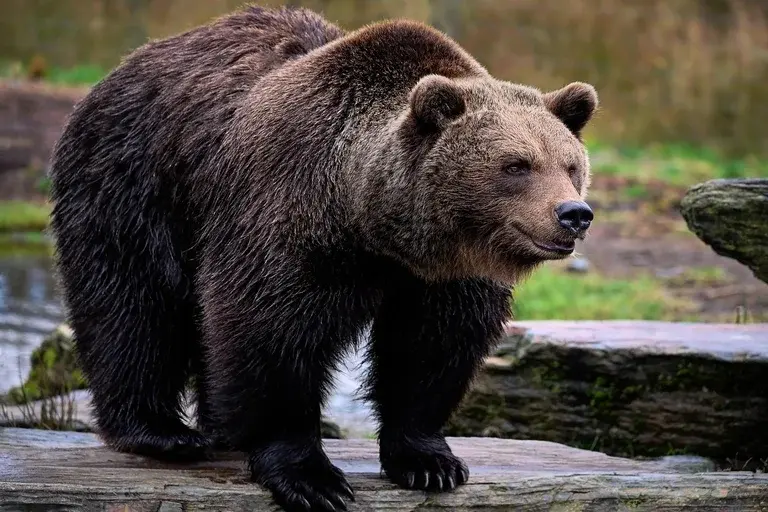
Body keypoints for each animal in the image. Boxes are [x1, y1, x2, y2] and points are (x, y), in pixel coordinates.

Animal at [49, 4, 600, 512]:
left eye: (570, 165)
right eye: (517, 165)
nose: (573, 214)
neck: (372, 224)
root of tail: (132, 61)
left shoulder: (442, 277)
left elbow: (430, 347)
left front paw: (430, 462)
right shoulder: (288, 215)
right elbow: (270, 333)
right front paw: (312, 478)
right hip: (136, 180)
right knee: (133, 303)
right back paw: (163, 431)